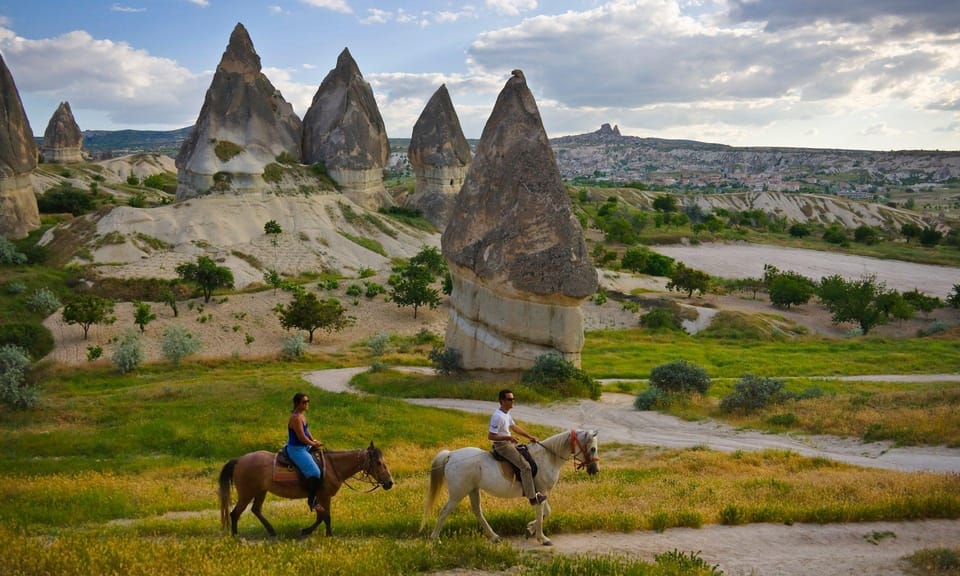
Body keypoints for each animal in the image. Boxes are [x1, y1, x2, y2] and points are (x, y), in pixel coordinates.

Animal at [219, 444, 392, 536]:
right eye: (378, 463)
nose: (390, 483)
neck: (332, 467)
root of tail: (239, 460)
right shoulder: (324, 496)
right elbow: (325, 517)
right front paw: (326, 534)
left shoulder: (320, 498)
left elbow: (321, 517)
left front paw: (308, 531)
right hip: (246, 493)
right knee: (235, 513)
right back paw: (235, 536)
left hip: (261, 491)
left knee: (255, 509)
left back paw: (271, 531)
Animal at [422, 430, 596, 548]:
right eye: (593, 448)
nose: (594, 469)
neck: (548, 457)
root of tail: (451, 455)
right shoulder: (541, 492)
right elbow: (541, 514)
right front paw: (542, 538)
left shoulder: (541, 493)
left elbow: (546, 512)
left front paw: (530, 530)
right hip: (457, 493)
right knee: (444, 512)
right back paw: (435, 539)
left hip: (473, 490)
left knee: (477, 512)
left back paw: (494, 537)